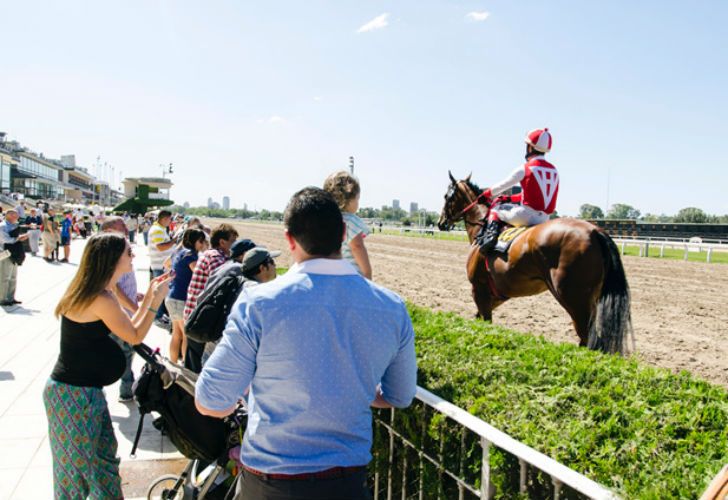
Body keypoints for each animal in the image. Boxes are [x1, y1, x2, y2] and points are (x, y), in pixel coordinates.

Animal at [438, 173, 632, 356]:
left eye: (446, 196)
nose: (440, 223)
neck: (482, 227)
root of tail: (595, 231)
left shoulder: (479, 289)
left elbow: (485, 321)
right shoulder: (497, 296)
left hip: (574, 300)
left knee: (589, 339)